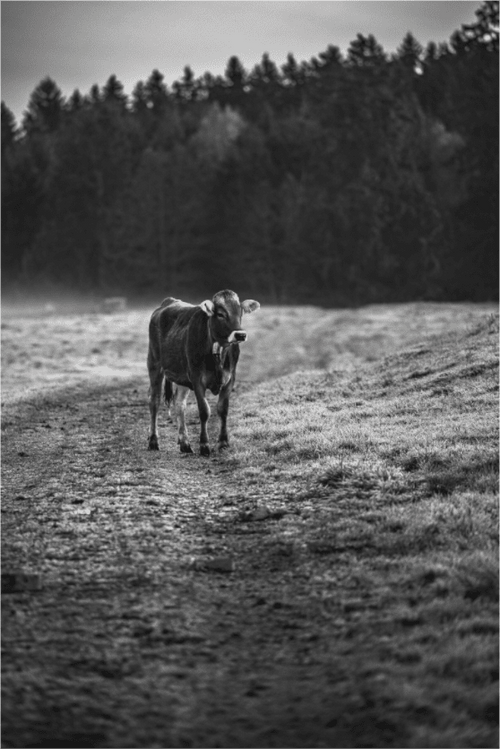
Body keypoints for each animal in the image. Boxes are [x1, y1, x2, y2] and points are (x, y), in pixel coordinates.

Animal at [147, 290, 260, 456]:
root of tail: (169, 301)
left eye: (240, 312)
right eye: (220, 314)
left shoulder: (230, 379)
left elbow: (223, 409)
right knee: (154, 401)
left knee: (179, 403)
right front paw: (204, 445)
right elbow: (204, 411)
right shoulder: (197, 379)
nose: (240, 335)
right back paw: (153, 441)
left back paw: (185, 443)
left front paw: (223, 442)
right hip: (154, 364)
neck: (218, 352)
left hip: (181, 376)